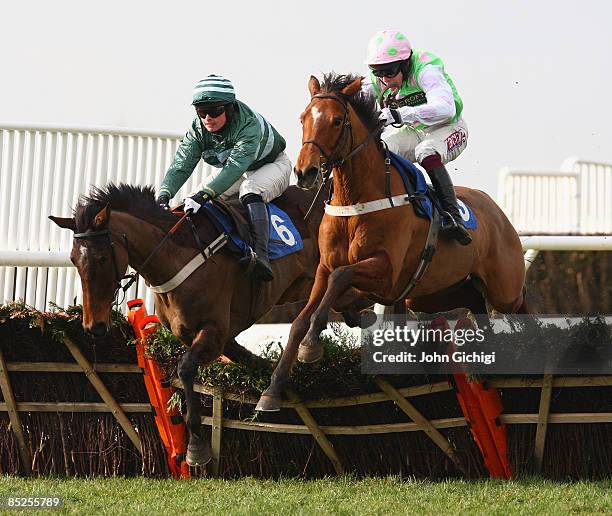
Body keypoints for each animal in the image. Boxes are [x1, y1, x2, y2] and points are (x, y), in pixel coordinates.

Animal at [49, 184, 368, 468]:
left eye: (102, 257)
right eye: (73, 259)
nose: (94, 326)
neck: (176, 258)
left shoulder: (214, 331)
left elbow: (186, 369)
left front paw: (196, 448)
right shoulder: (203, 336)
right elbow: (243, 361)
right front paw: (273, 384)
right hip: (296, 286)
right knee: (343, 294)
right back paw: (355, 313)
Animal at [256, 73, 528, 412]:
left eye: (336, 121)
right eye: (303, 118)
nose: (305, 172)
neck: (356, 201)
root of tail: (497, 211)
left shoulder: (385, 272)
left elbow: (340, 278)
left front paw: (313, 343)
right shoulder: (326, 268)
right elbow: (300, 320)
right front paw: (273, 389)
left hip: (504, 289)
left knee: (519, 303)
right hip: (431, 293)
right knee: (474, 300)